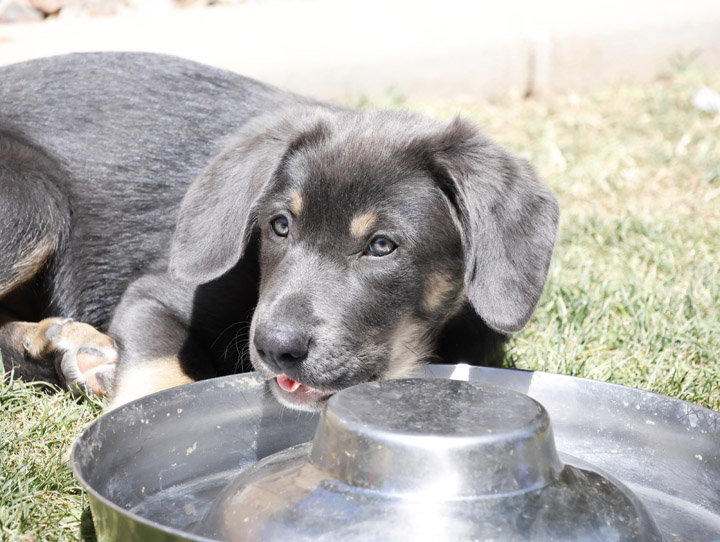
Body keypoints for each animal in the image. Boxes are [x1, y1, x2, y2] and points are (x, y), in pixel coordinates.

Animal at [0, 54, 560, 412]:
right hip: (34, 201)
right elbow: (158, 381)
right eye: (280, 226)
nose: (275, 349)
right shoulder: (154, 293)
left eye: (382, 246)